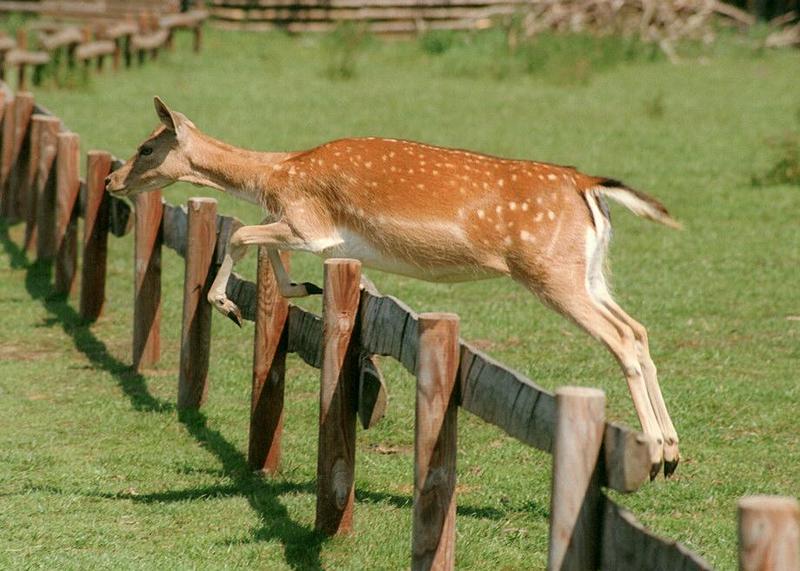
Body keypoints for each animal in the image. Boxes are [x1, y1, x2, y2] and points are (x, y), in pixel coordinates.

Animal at [104, 98, 680, 478]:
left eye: (147, 146)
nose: (112, 180)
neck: (275, 177)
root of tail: (589, 187)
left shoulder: (311, 225)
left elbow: (243, 234)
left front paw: (228, 303)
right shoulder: (318, 235)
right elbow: (260, 242)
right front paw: (302, 288)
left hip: (551, 271)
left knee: (620, 337)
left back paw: (654, 452)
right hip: (588, 272)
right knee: (638, 329)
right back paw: (672, 451)